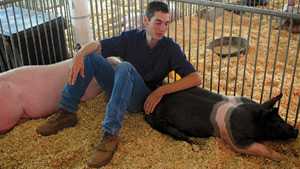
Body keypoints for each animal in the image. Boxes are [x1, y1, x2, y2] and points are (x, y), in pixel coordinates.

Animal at [145, 87, 298, 160]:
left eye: (282, 118)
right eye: (275, 123)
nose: (296, 131)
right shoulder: (236, 139)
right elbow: (260, 148)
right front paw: (282, 158)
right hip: (161, 122)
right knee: (177, 134)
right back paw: (196, 145)